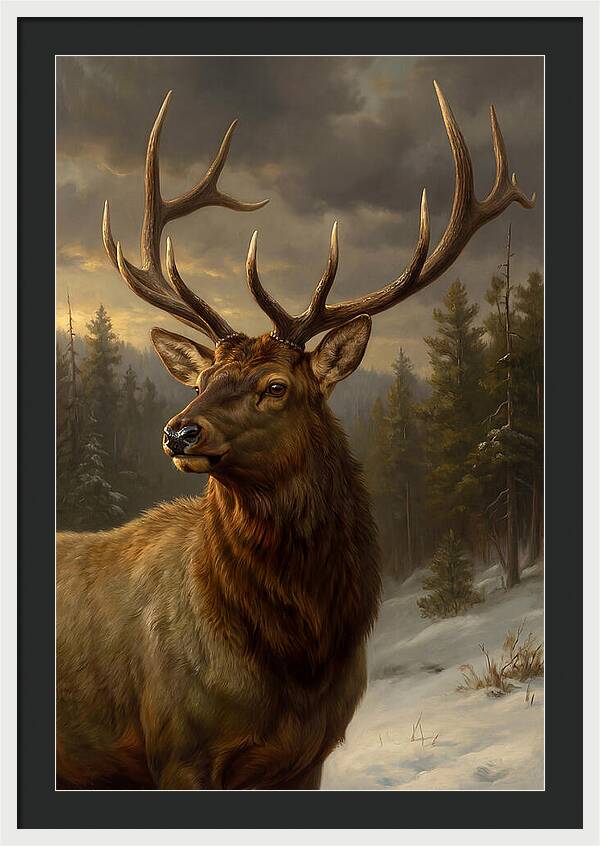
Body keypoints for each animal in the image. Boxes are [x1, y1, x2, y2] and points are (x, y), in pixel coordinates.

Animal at [56, 82, 535, 790]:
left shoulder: (307, 756)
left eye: (276, 385)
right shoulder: (176, 749)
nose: (178, 432)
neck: (297, 659)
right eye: (202, 379)